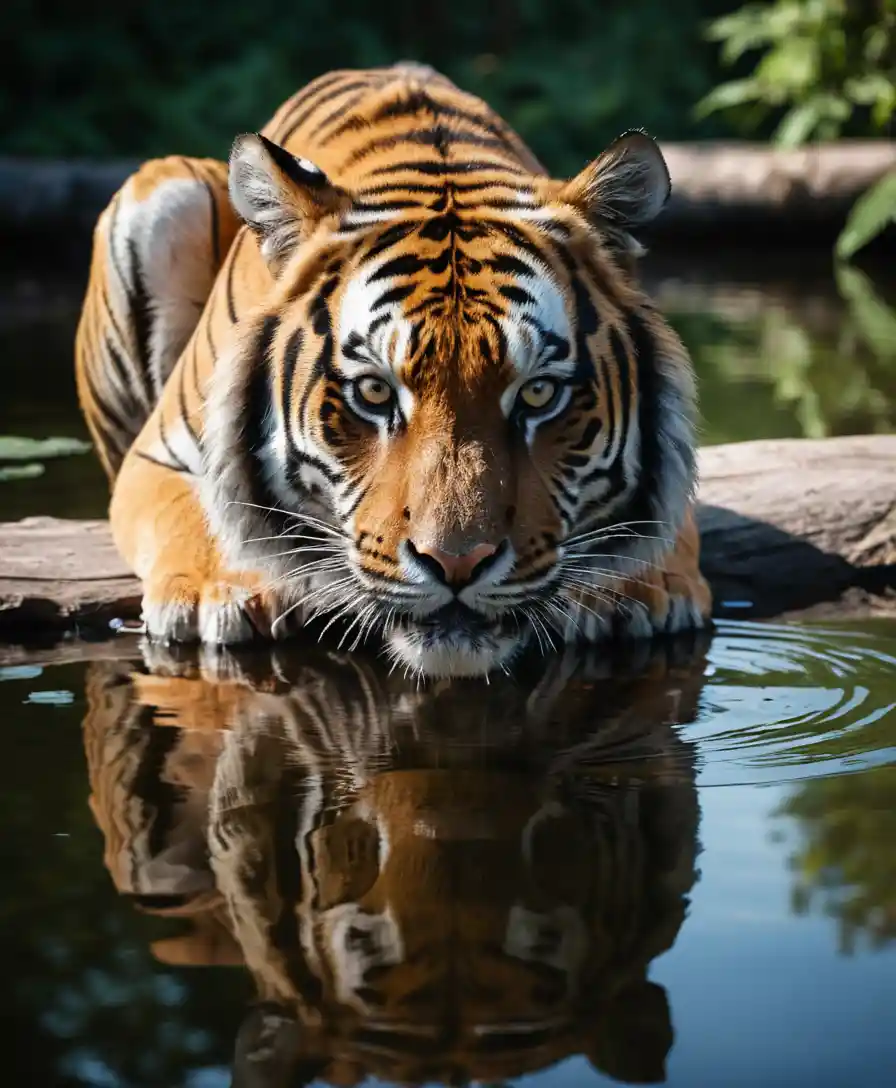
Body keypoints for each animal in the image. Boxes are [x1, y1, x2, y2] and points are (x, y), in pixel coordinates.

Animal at [75, 61, 711, 679]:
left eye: (537, 394)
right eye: (375, 393)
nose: (458, 563)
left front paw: (636, 590)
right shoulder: (156, 455)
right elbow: (201, 512)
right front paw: (220, 592)